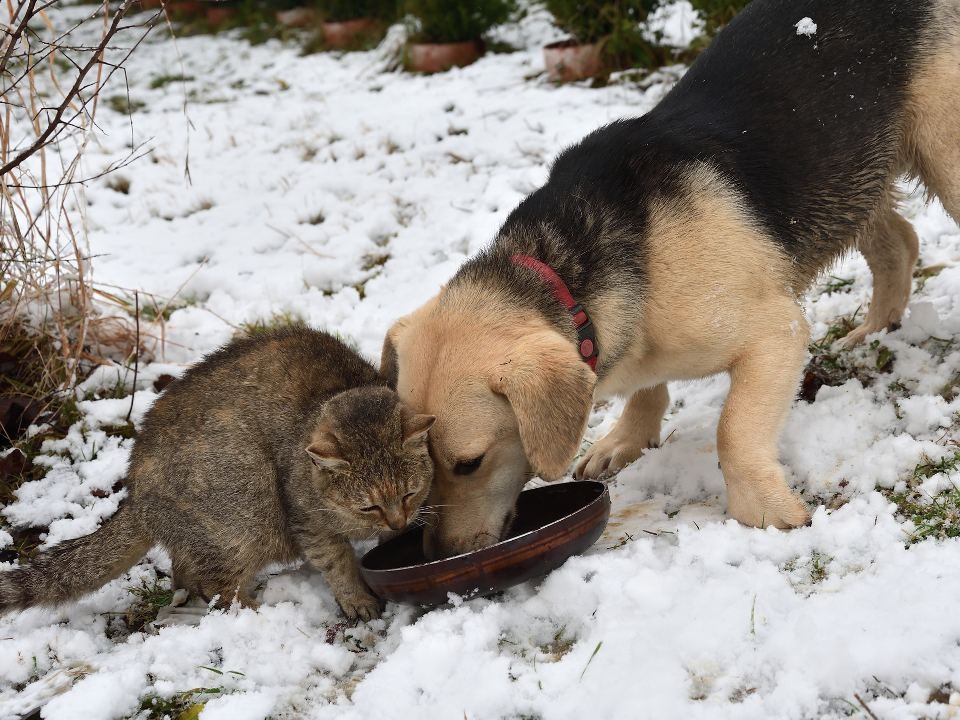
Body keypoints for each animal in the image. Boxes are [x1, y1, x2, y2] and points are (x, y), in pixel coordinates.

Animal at [0, 326, 436, 620]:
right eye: (368, 507)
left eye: (410, 494)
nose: (398, 522)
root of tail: (135, 492)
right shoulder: (308, 521)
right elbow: (337, 562)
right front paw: (357, 599)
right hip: (244, 504)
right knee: (215, 587)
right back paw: (259, 612)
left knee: (185, 576)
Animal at [380, 0, 960, 560]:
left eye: (469, 463)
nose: (438, 554)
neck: (565, 271)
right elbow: (647, 391)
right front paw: (627, 437)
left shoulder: (776, 334)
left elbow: (733, 429)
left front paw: (764, 510)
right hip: (852, 175)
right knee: (900, 242)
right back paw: (875, 328)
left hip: (939, 155)